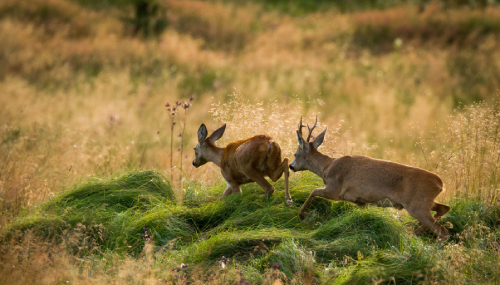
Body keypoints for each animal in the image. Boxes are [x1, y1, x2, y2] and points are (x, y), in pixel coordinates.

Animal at [290, 116, 450, 239]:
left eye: (295, 154)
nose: (291, 166)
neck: (327, 168)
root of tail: (441, 184)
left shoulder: (335, 189)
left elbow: (313, 191)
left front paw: (301, 214)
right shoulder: (361, 201)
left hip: (416, 205)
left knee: (443, 231)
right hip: (424, 202)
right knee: (444, 209)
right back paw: (412, 233)